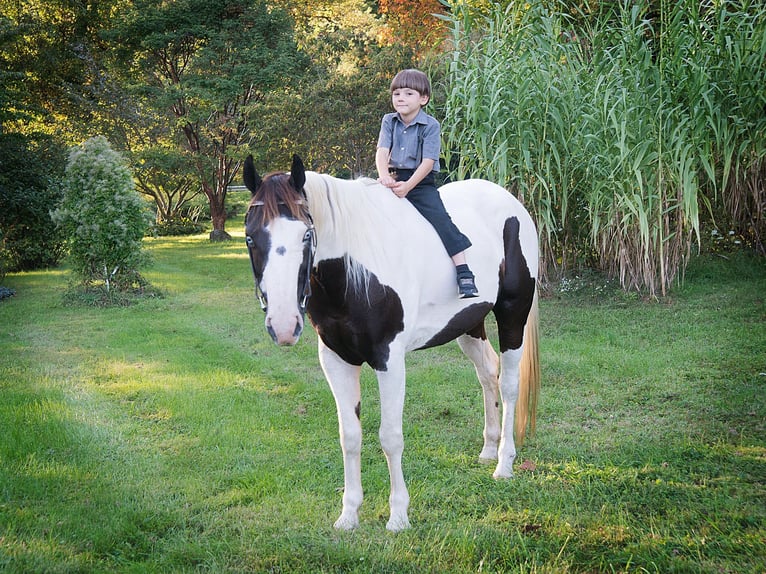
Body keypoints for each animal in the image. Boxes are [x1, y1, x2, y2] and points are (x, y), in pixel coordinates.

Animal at [244, 155, 540, 532]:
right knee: (488, 372)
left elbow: (390, 437)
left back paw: (504, 464)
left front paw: (398, 516)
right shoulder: (336, 360)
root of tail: (512, 204)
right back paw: (488, 449)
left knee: (510, 386)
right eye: (250, 238)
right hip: (469, 322)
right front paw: (349, 515)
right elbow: (350, 436)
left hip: (512, 314)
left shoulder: (390, 360)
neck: (355, 273)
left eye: (306, 235)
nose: (283, 325)